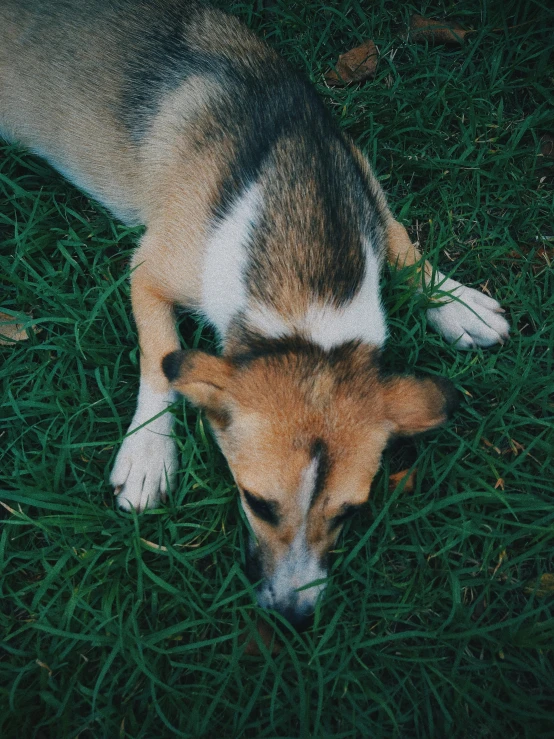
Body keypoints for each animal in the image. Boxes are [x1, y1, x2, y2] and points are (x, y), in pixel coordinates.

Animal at [1, 0, 508, 632]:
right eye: (256, 503)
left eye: (350, 512)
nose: (295, 615)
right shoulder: (149, 271)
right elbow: (160, 355)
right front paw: (148, 453)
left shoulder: (364, 177)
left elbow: (399, 237)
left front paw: (455, 302)